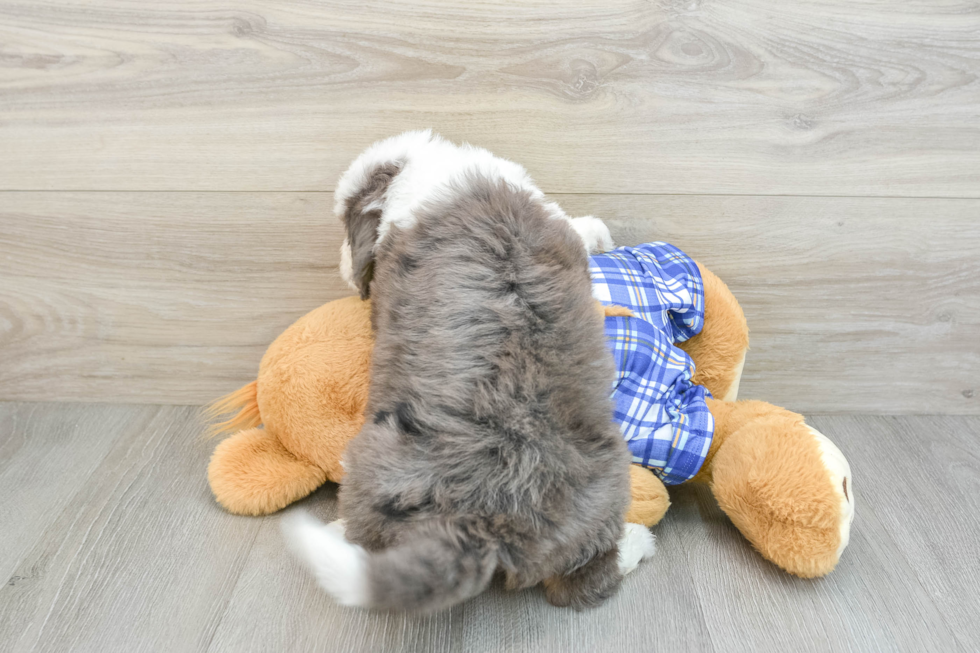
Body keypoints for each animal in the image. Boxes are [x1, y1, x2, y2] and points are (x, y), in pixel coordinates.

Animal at [282, 131, 652, 612]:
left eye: (346, 227)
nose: (343, 264)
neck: (433, 166)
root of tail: (485, 521)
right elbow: (579, 225)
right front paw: (599, 233)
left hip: (369, 466)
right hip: (598, 497)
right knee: (587, 578)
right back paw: (636, 542)